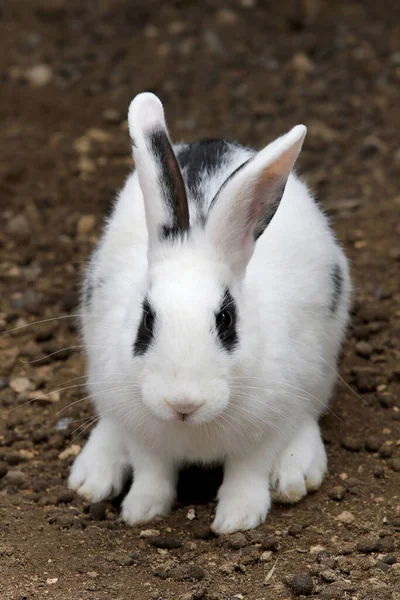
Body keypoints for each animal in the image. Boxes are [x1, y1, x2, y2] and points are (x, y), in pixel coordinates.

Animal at [69, 92, 350, 536]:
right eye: (146, 320)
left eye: (226, 320)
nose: (183, 402)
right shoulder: (142, 433)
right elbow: (152, 473)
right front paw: (141, 510)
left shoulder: (266, 429)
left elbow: (246, 473)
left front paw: (237, 519)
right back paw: (93, 477)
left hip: (320, 369)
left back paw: (297, 473)